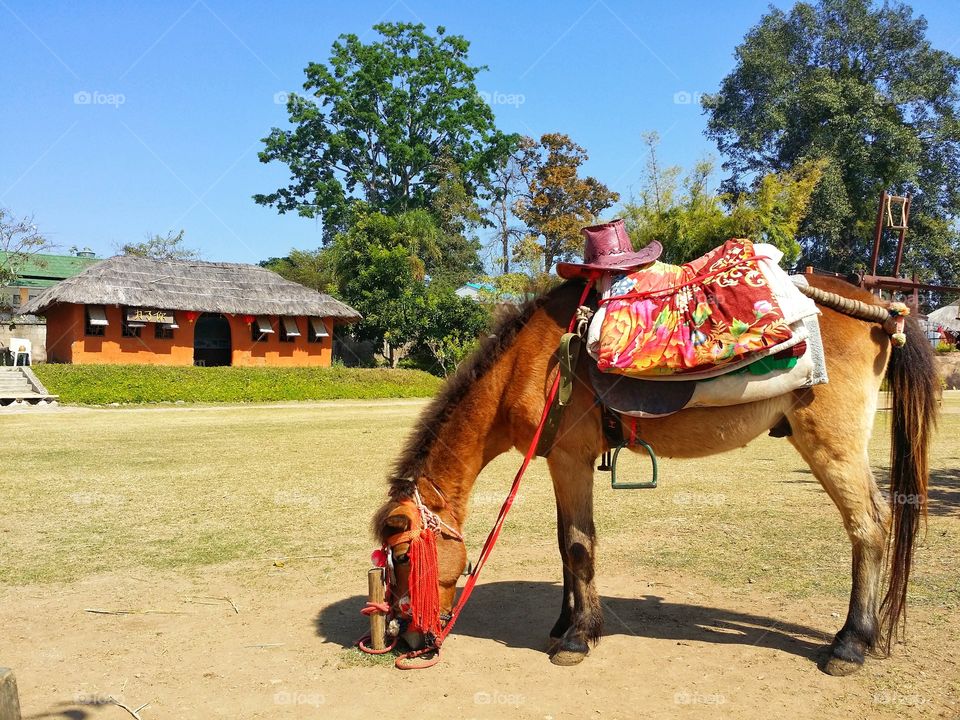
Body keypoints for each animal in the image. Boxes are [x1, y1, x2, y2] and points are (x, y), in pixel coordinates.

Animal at [374, 276, 936, 676]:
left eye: (403, 556)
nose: (405, 638)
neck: (530, 361)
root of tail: (884, 312)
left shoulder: (570, 459)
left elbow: (578, 545)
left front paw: (578, 637)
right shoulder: (561, 462)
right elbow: (563, 545)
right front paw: (564, 623)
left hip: (833, 447)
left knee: (869, 526)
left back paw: (850, 644)